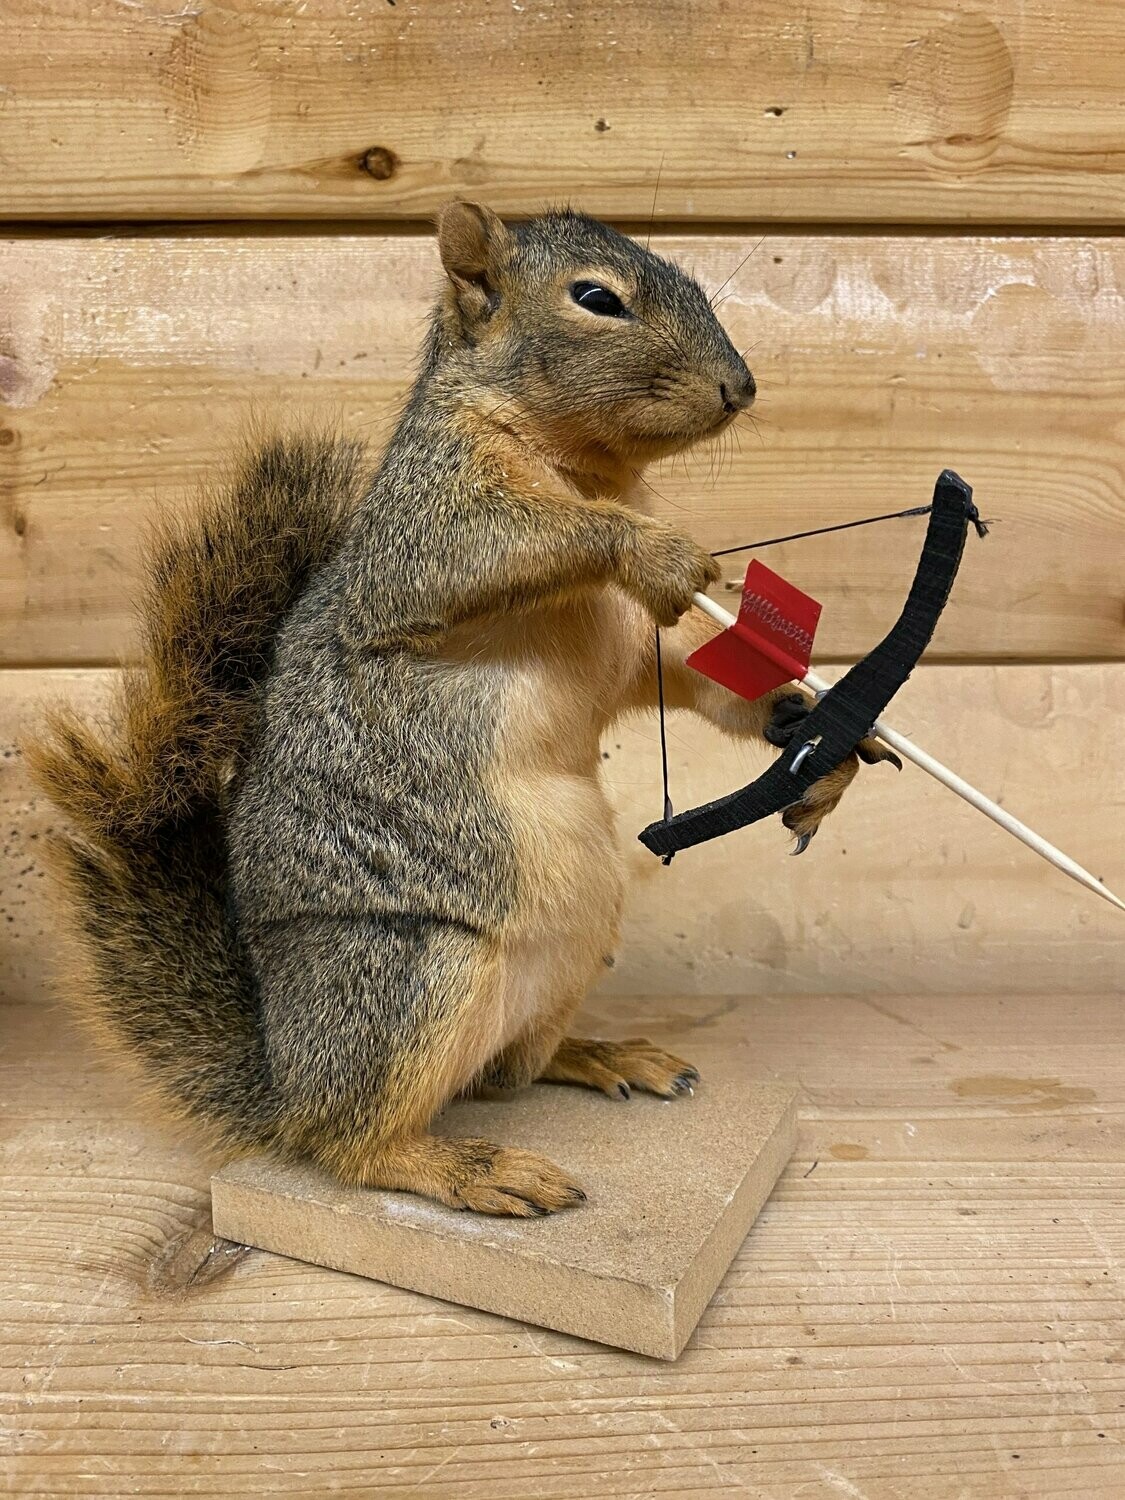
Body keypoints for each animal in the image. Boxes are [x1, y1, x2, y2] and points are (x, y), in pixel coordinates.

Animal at [30, 202, 898, 1217]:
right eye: (596, 298)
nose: (741, 388)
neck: (591, 471)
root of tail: (284, 1074)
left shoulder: (630, 649)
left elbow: (692, 671)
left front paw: (814, 733)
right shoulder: (426, 524)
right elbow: (498, 542)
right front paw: (658, 549)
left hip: (565, 961)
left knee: (502, 1074)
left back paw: (602, 1056)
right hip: (411, 979)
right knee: (347, 1141)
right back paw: (472, 1169)